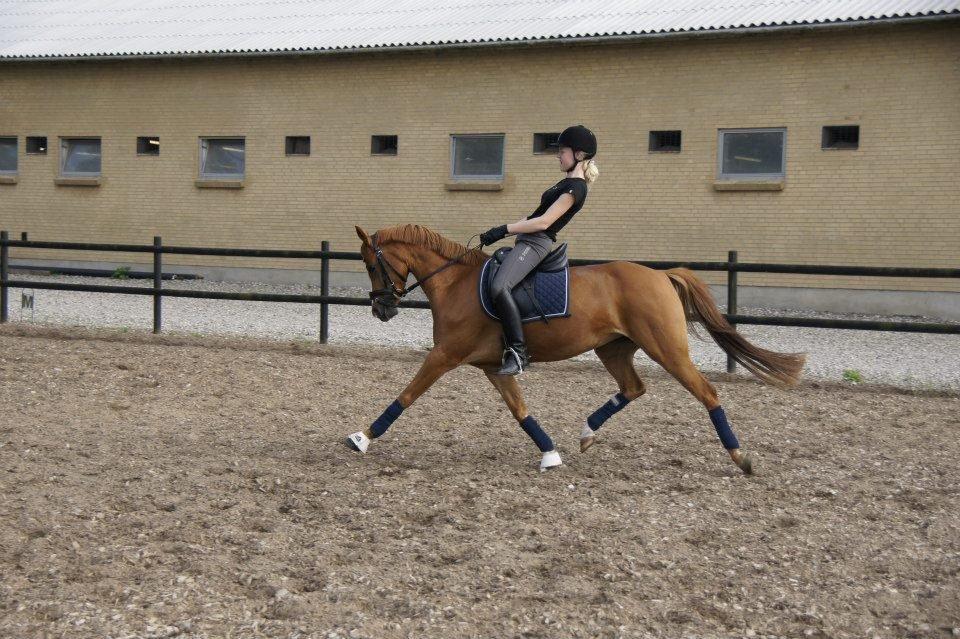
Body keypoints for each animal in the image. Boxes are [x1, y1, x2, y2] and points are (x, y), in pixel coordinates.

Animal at [346, 224, 805, 474]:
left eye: (370, 264)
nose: (381, 309)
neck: (454, 282)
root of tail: (660, 275)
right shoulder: (494, 366)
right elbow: (521, 412)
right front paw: (550, 453)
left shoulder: (444, 356)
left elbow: (406, 395)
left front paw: (362, 438)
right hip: (614, 349)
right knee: (633, 388)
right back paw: (587, 433)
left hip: (667, 349)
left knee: (707, 393)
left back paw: (740, 457)